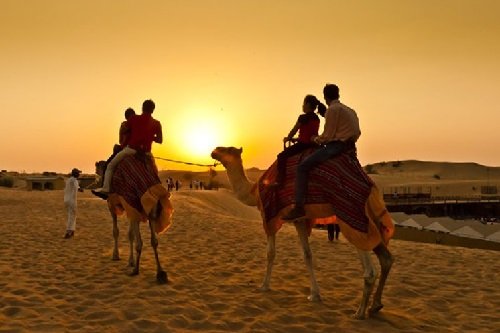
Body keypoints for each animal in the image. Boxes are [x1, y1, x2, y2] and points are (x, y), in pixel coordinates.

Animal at [94, 153, 174, 282]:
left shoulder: (113, 204)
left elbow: (116, 231)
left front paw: (116, 255)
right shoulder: (132, 210)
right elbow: (131, 234)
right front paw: (131, 261)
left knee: (140, 242)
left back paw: (136, 270)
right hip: (151, 211)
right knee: (154, 241)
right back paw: (160, 272)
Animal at [210, 147, 394, 318]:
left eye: (227, 149)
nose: (214, 151)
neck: (254, 191)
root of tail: (371, 187)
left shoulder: (271, 217)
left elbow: (270, 253)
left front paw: (264, 286)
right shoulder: (300, 220)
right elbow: (307, 254)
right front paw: (315, 294)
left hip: (352, 217)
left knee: (370, 270)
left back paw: (360, 312)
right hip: (373, 220)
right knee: (386, 258)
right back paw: (375, 306)